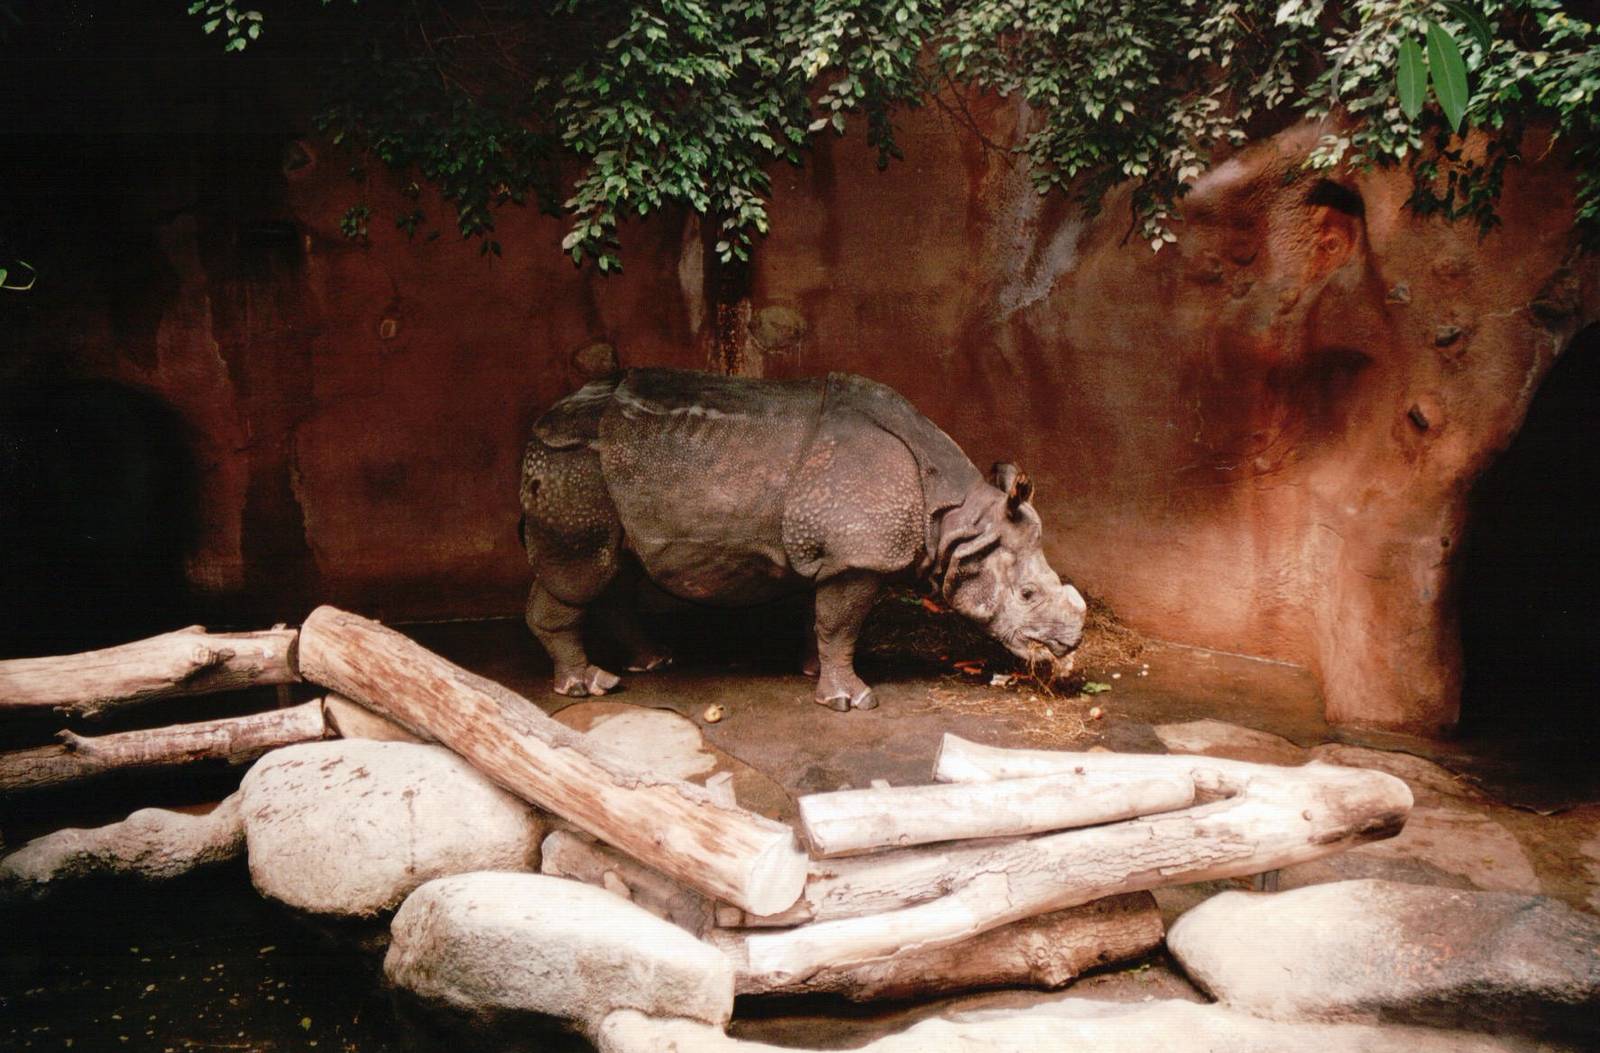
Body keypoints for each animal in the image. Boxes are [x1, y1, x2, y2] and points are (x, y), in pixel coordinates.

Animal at [518, 368, 1086, 711]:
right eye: (1027, 594)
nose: (1070, 643)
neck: (956, 522)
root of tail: (539, 424)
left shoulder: (834, 553)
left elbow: (823, 621)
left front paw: (812, 669)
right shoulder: (859, 558)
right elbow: (841, 623)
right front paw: (850, 701)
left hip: (603, 476)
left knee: (617, 567)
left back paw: (655, 661)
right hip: (573, 466)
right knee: (581, 571)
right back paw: (589, 685)